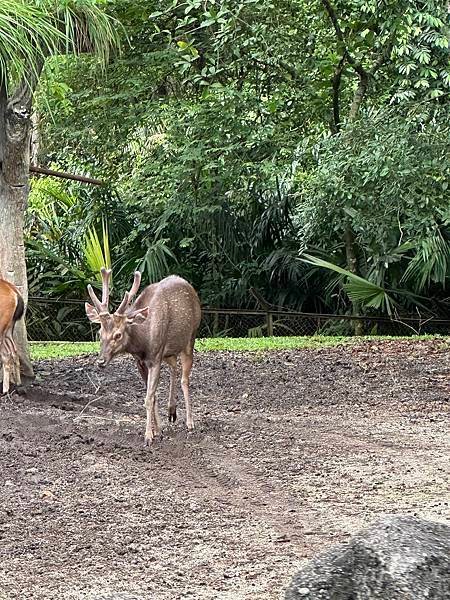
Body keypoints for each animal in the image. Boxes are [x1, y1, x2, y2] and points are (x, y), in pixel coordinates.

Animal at [85, 268, 201, 446]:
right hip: (169, 351)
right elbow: (153, 396)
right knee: (174, 366)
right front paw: (158, 430)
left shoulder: (155, 357)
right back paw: (171, 411)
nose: (100, 361)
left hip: (190, 338)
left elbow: (148, 397)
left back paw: (189, 422)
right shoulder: (140, 361)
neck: (142, 342)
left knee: (185, 379)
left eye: (118, 335)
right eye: (99, 333)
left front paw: (148, 436)